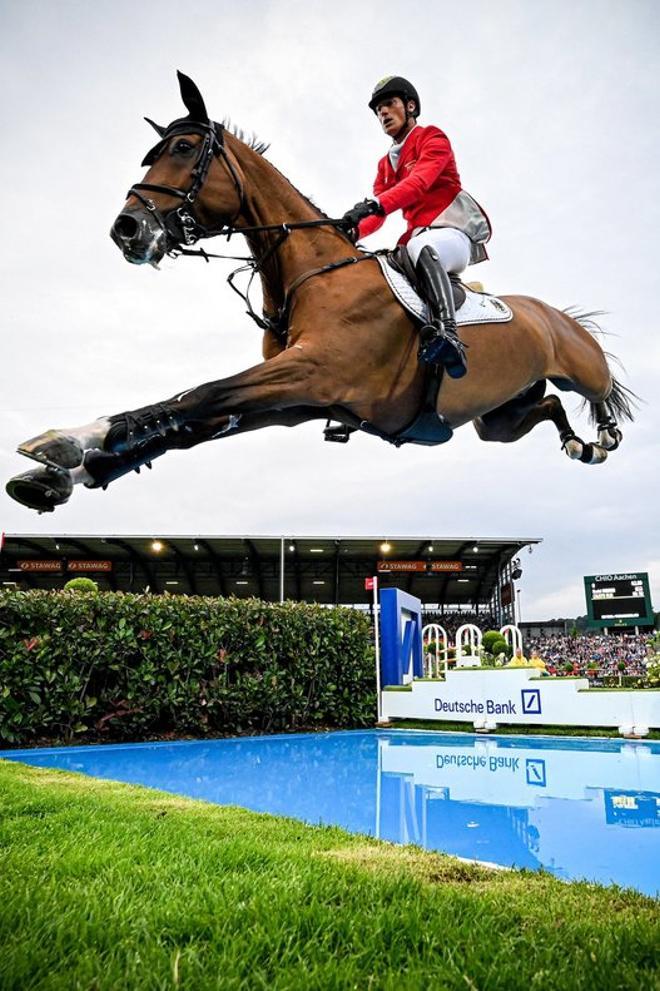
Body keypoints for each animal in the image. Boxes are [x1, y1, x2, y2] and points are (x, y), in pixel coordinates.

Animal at [6, 73, 636, 516]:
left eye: (183, 149)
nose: (127, 230)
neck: (311, 274)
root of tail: (551, 314)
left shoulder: (312, 371)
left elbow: (199, 395)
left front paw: (68, 448)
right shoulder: (297, 401)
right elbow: (185, 421)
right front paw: (65, 466)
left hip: (572, 362)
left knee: (596, 386)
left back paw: (603, 430)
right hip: (497, 417)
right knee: (546, 407)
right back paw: (578, 443)